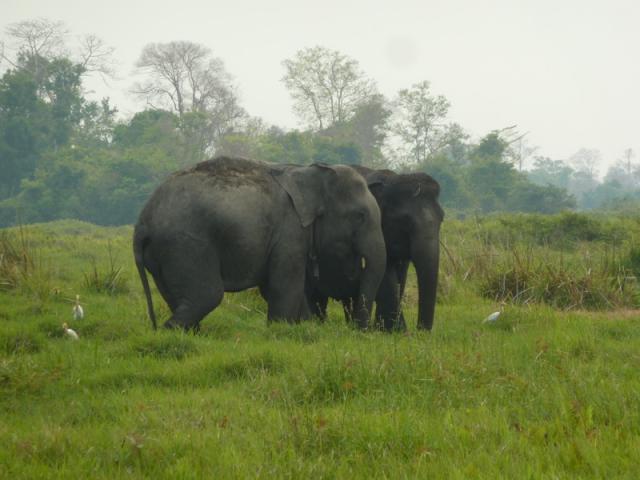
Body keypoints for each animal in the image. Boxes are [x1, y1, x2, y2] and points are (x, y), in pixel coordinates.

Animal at [132, 157, 384, 330]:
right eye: (360, 216)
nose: (358, 331)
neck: (308, 170)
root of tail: (142, 222)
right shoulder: (289, 231)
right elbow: (285, 286)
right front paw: (280, 331)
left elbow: (274, 288)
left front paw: (304, 328)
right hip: (186, 245)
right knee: (207, 296)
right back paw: (170, 331)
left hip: (163, 257)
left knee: (179, 298)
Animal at [308, 167, 442, 332]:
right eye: (406, 221)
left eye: (442, 218)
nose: (420, 331)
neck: (391, 181)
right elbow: (386, 275)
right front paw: (395, 331)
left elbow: (400, 278)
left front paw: (386, 329)